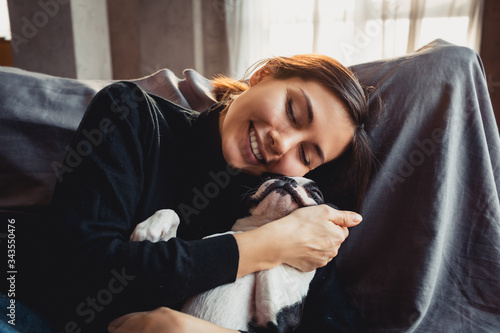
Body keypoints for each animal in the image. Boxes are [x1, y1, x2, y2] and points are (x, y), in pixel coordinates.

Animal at [130, 175, 324, 330]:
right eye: (270, 177)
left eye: (315, 192)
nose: (286, 179)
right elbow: (173, 214)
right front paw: (150, 227)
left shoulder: (276, 322)